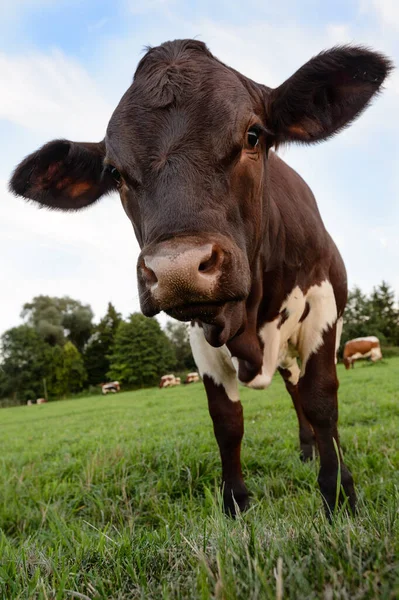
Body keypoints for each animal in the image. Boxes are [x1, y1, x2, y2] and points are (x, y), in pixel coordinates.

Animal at [7, 38, 392, 516]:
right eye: (114, 172)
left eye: (253, 135)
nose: (178, 268)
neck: (250, 314)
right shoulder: (199, 333)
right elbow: (226, 420)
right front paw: (235, 502)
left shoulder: (324, 306)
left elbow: (321, 401)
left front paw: (338, 493)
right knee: (290, 388)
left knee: (301, 390)